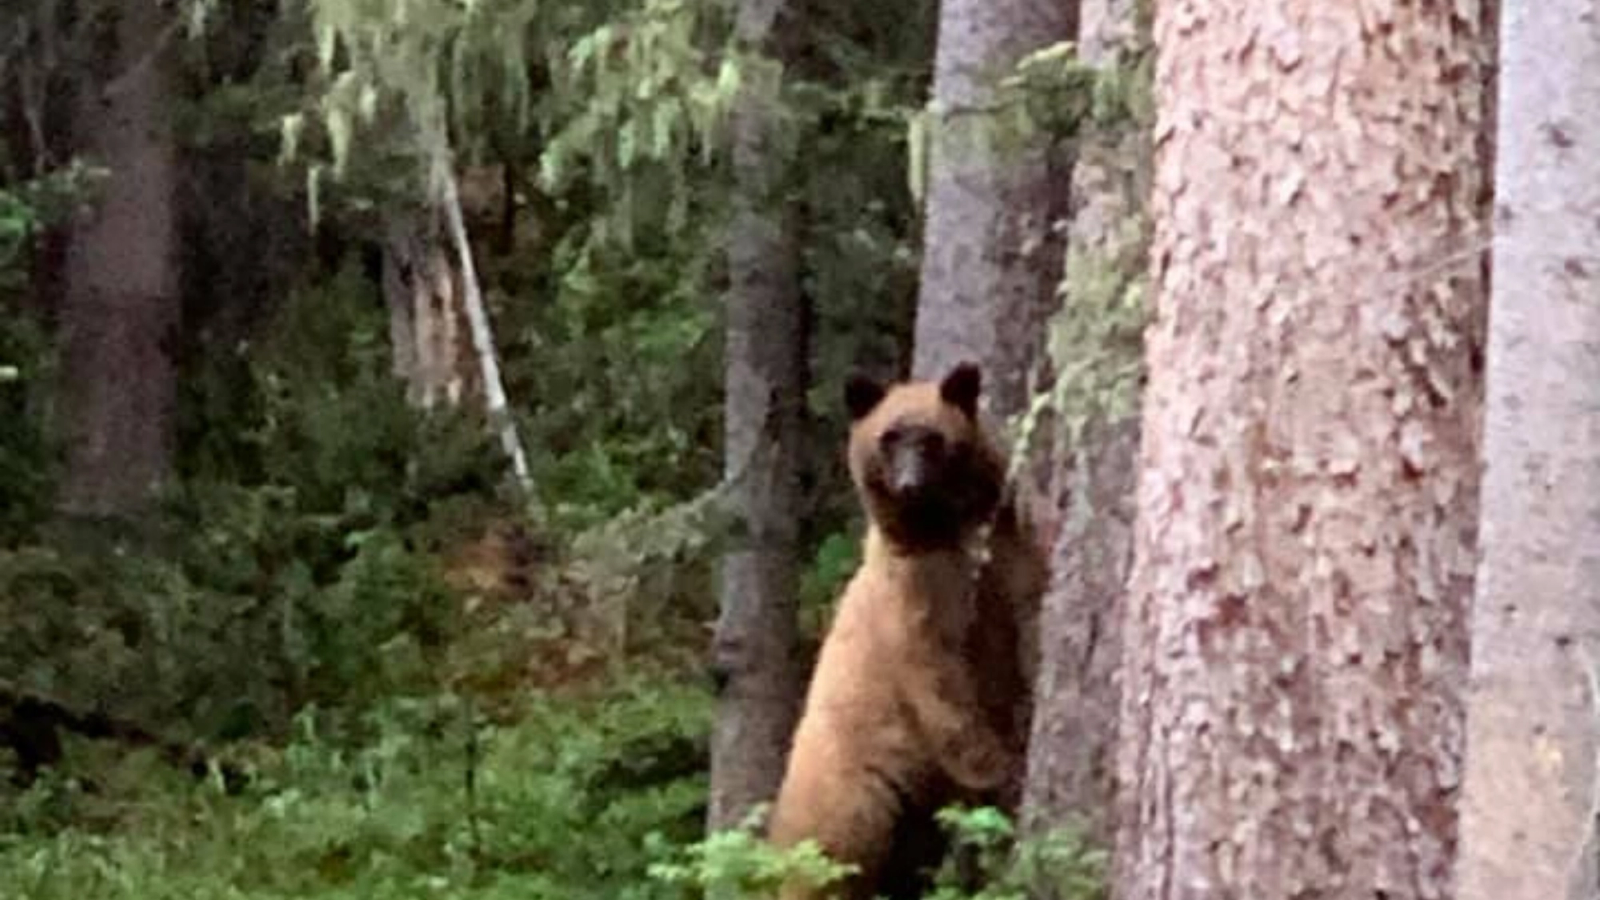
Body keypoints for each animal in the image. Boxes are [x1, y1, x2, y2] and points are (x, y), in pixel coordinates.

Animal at [764, 361, 1048, 900]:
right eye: (888, 437)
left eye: (933, 438)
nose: (910, 484)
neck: (947, 529)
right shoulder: (911, 596)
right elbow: (939, 680)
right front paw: (1002, 768)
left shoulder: (1013, 541)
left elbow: (1034, 599)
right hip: (852, 788)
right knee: (830, 860)